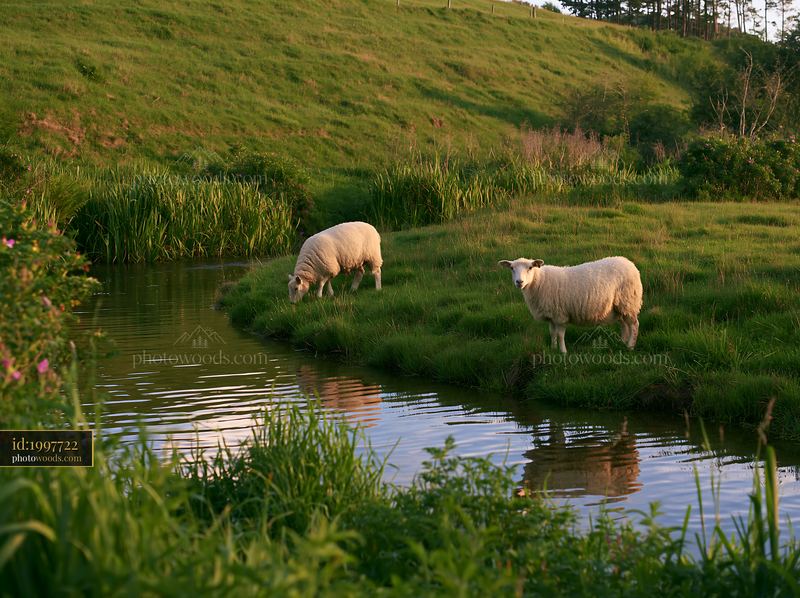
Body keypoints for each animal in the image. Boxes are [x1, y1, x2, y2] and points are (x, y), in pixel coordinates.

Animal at [498, 256, 642, 354]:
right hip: (619, 307)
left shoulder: (560, 315)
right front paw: (553, 348)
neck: (539, 282)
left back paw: (630, 346)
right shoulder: (551, 316)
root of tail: (630, 263)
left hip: (629, 301)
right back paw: (622, 342)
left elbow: (560, 335)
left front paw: (563, 352)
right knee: (624, 325)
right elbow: (552, 333)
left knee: (634, 325)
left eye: (530, 267)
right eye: (512, 268)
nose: (519, 282)